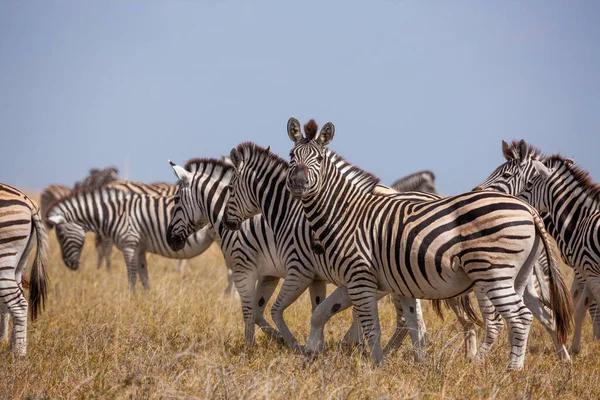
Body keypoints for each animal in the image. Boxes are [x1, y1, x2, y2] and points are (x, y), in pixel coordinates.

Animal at [47, 186, 216, 292]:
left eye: (60, 236)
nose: (69, 265)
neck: (115, 213)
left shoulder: (129, 245)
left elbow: (132, 277)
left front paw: (131, 300)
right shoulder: (139, 248)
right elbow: (144, 278)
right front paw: (147, 301)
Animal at [282, 116, 572, 368]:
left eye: (319, 159)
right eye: (291, 156)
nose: (297, 183)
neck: (346, 213)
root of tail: (529, 209)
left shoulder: (360, 276)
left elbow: (372, 327)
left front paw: (376, 366)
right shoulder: (374, 281)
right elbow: (322, 313)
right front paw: (311, 353)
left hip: (492, 272)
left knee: (518, 318)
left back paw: (510, 371)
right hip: (518, 275)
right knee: (522, 317)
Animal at [476, 139, 600, 352]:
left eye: (506, 175)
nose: (475, 192)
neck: (580, 219)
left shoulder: (587, 269)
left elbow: (585, 305)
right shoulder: (583, 269)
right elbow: (578, 303)